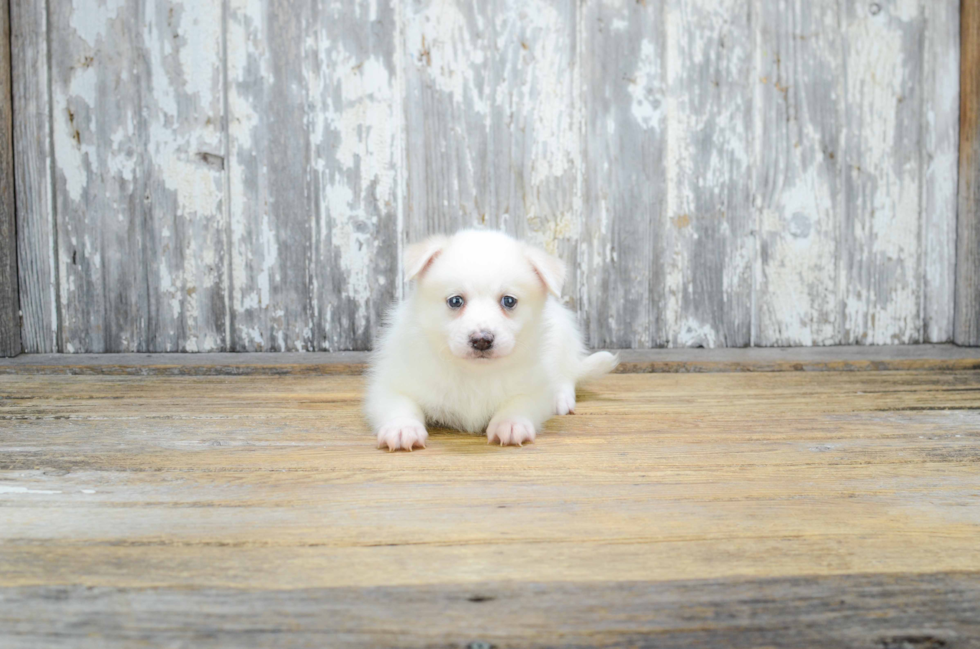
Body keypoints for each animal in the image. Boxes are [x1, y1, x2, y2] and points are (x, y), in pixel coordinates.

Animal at [364, 229, 616, 450]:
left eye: (509, 301)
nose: (482, 340)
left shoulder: (534, 389)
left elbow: (519, 403)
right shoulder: (392, 384)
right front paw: (401, 429)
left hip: (563, 338)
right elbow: (400, 405)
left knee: (568, 374)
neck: (475, 373)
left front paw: (511, 423)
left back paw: (561, 398)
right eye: (455, 301)